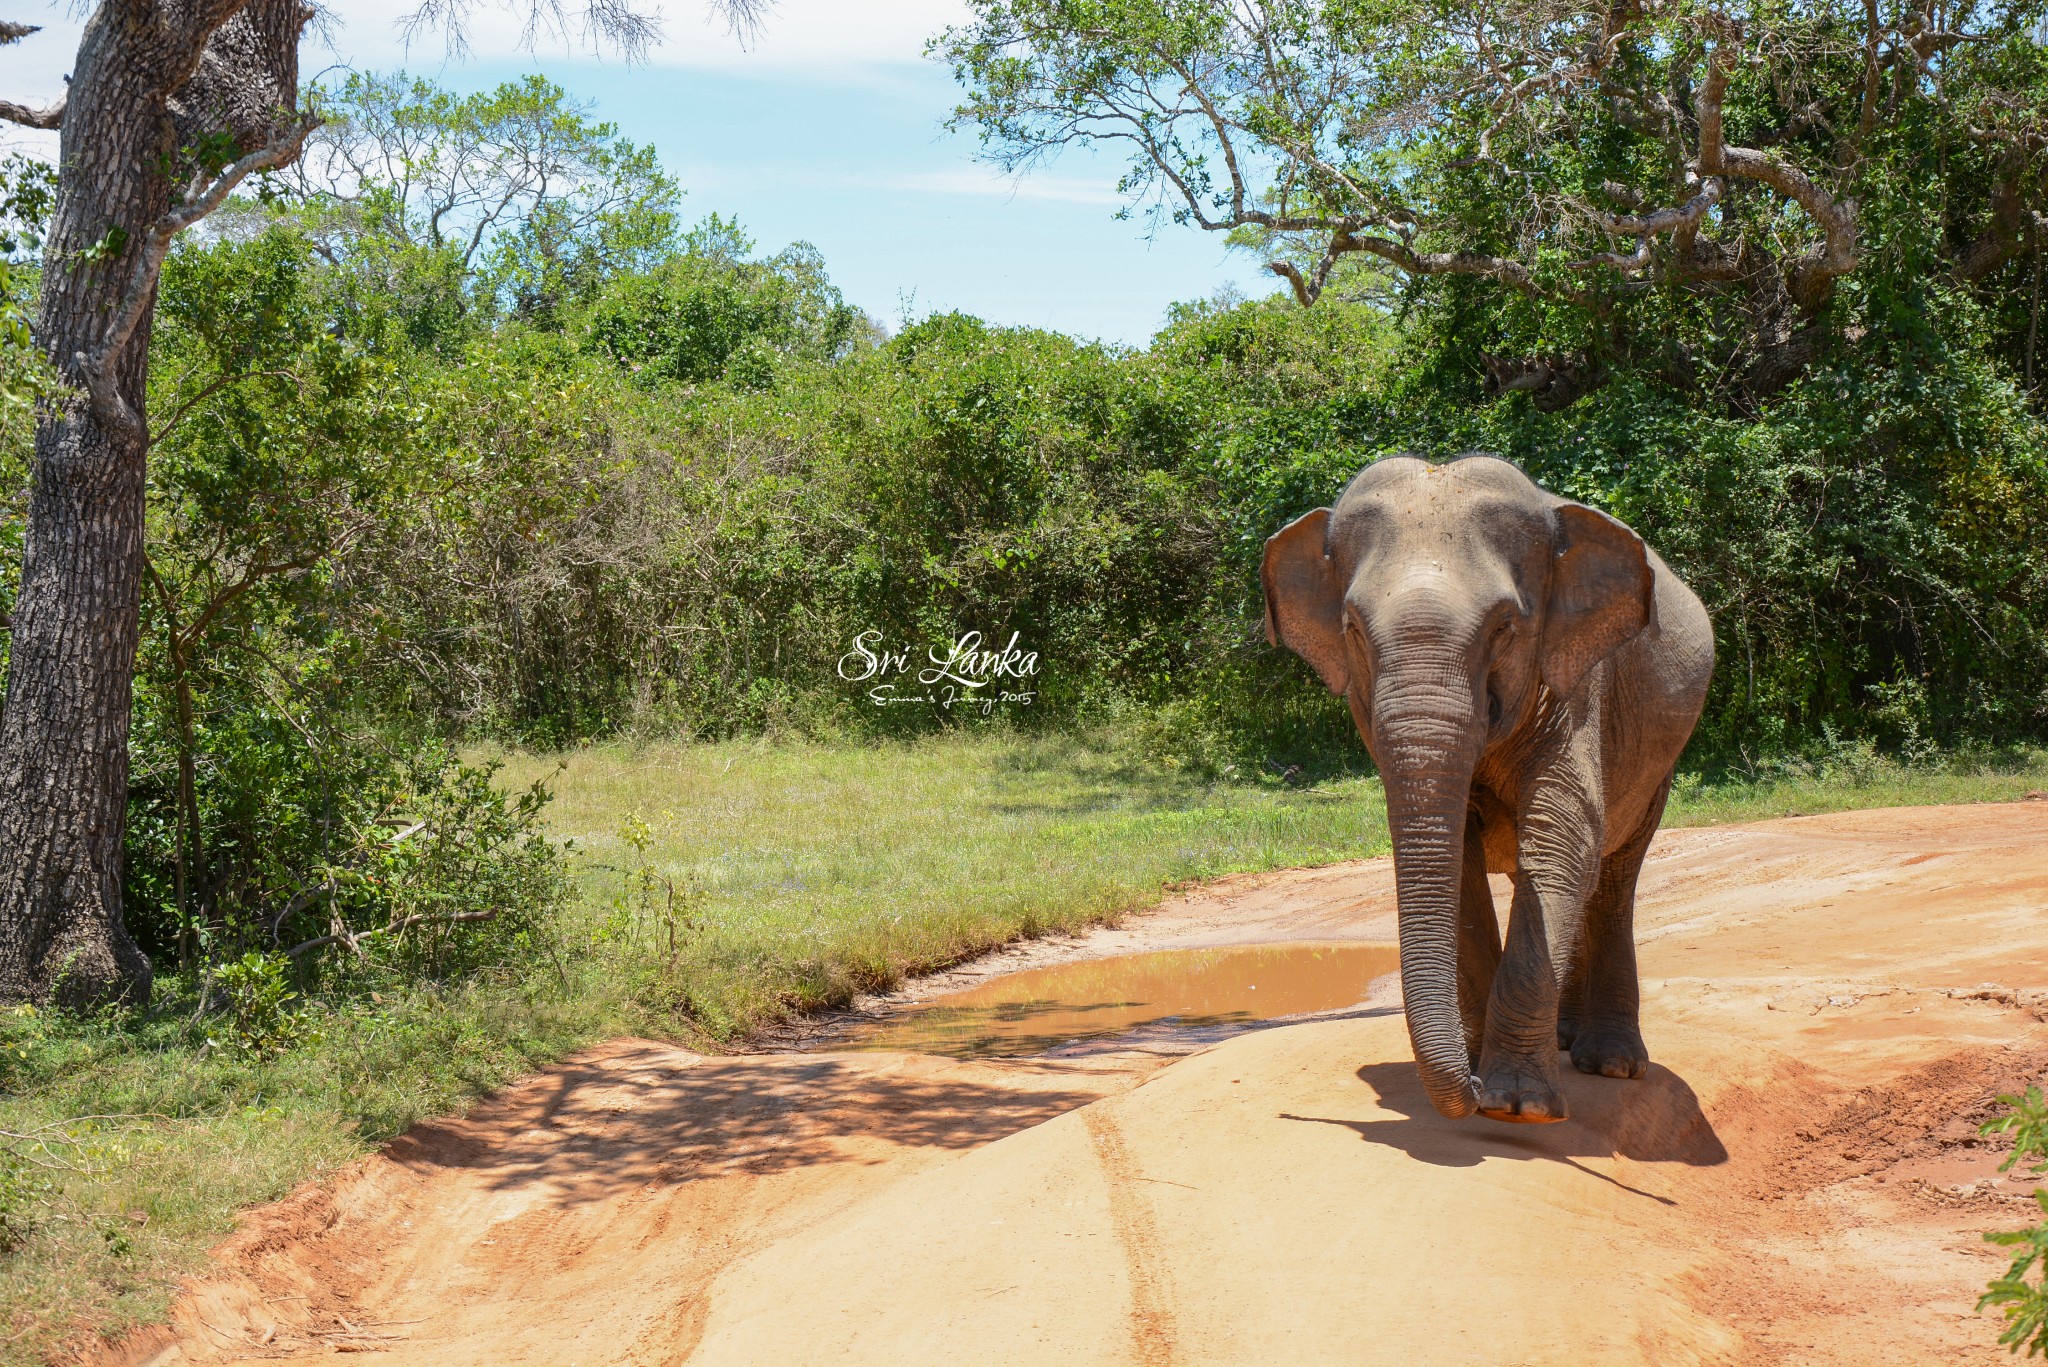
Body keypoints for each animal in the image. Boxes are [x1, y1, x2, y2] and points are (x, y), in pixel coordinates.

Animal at [1261, 457, 1712, 1123]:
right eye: (1352, 629)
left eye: (1504, 627)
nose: (1469, 1090)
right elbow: (1462, 863)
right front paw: (1483, 1079)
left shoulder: (1575, 680)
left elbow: (1560, 840)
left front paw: (1514, 1105)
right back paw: (1563, 1042)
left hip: (1660, 759)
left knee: (1612, 875)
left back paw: (1610, 1064)